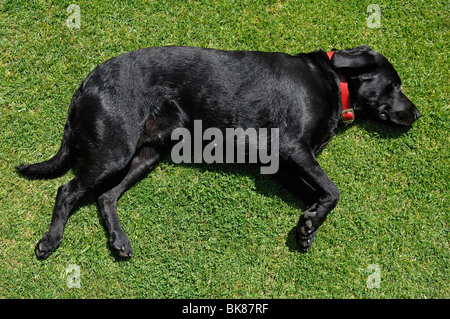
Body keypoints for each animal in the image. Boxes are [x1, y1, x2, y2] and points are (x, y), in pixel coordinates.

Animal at [15, 45, 420, 260]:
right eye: (395, 85)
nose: (417, 114)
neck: (332, 81)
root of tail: (87, 83)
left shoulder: (281, 166)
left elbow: (316, 195)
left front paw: (307, 227)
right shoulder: (292, 147)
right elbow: (333, 191)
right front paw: (311, 222)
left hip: (146, 155)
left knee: (105, 196)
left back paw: (119, 240)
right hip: (114, 151)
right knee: (68, 190)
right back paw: (50, 241)